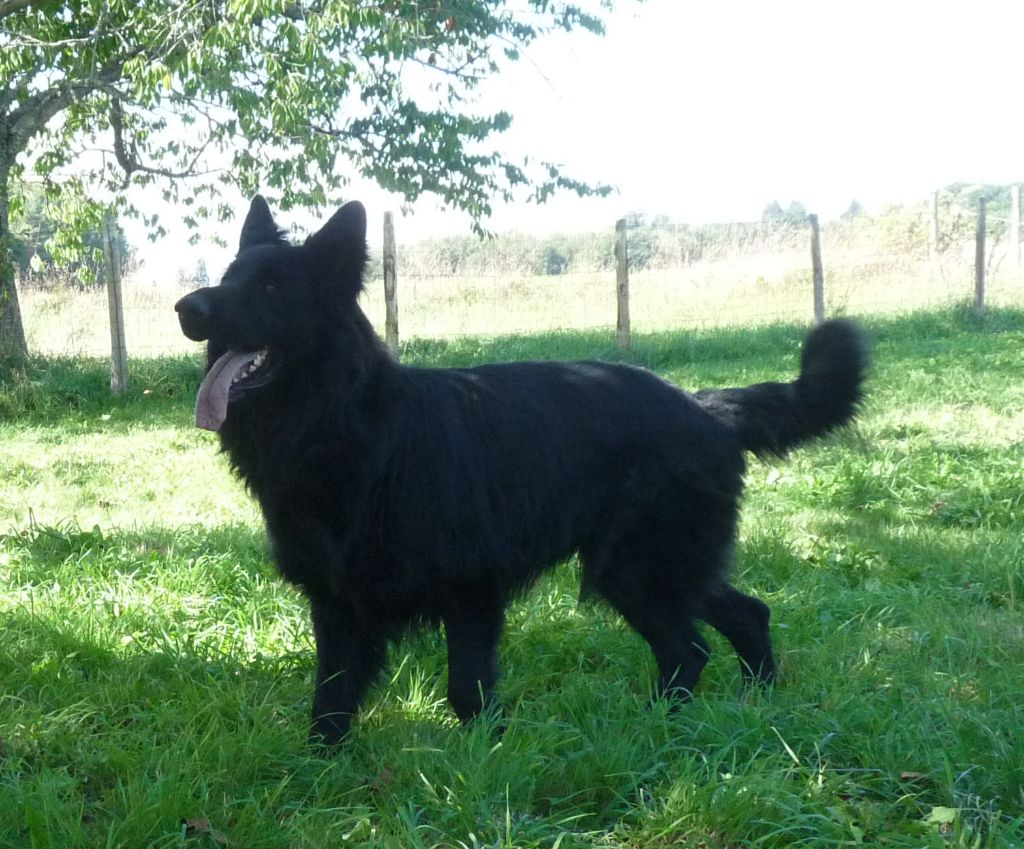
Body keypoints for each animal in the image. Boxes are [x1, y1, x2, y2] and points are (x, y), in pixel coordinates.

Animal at [175, 196, 867, 746]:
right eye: (230, 277)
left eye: (272, 289)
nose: (186, 308)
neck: (348, 426)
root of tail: (705, 406)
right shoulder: (338, 603)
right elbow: (331, 700)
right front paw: (321, 773)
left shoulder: (471, 592)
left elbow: (467, 691)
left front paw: (487, 765)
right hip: (656, 568)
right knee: (744, 616)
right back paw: (753, 707)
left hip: (635, 568)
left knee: (688, 647)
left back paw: (666, 728)